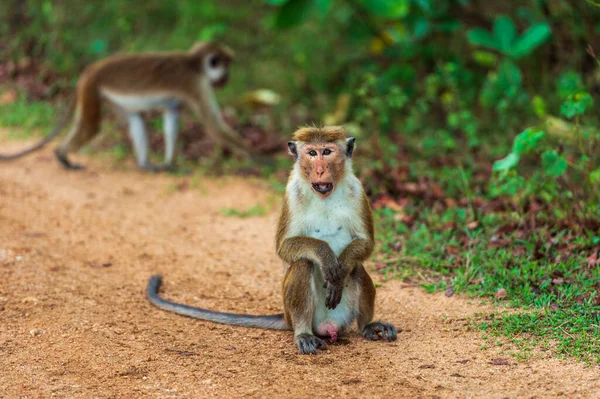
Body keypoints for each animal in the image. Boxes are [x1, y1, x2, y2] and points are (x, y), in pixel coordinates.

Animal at [147, 126, 396, 354]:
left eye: (327, 152)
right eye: (312, 153)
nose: (320, 169)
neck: (324, 195)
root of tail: (330, 326)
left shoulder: (358, 190)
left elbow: (365, 243)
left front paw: (340, 267)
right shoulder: (292, 192)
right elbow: (284, 247)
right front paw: (325, 255)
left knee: (356, 267)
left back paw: (367, 325)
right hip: (293, 313)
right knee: (303, 264)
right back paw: (303, 333)